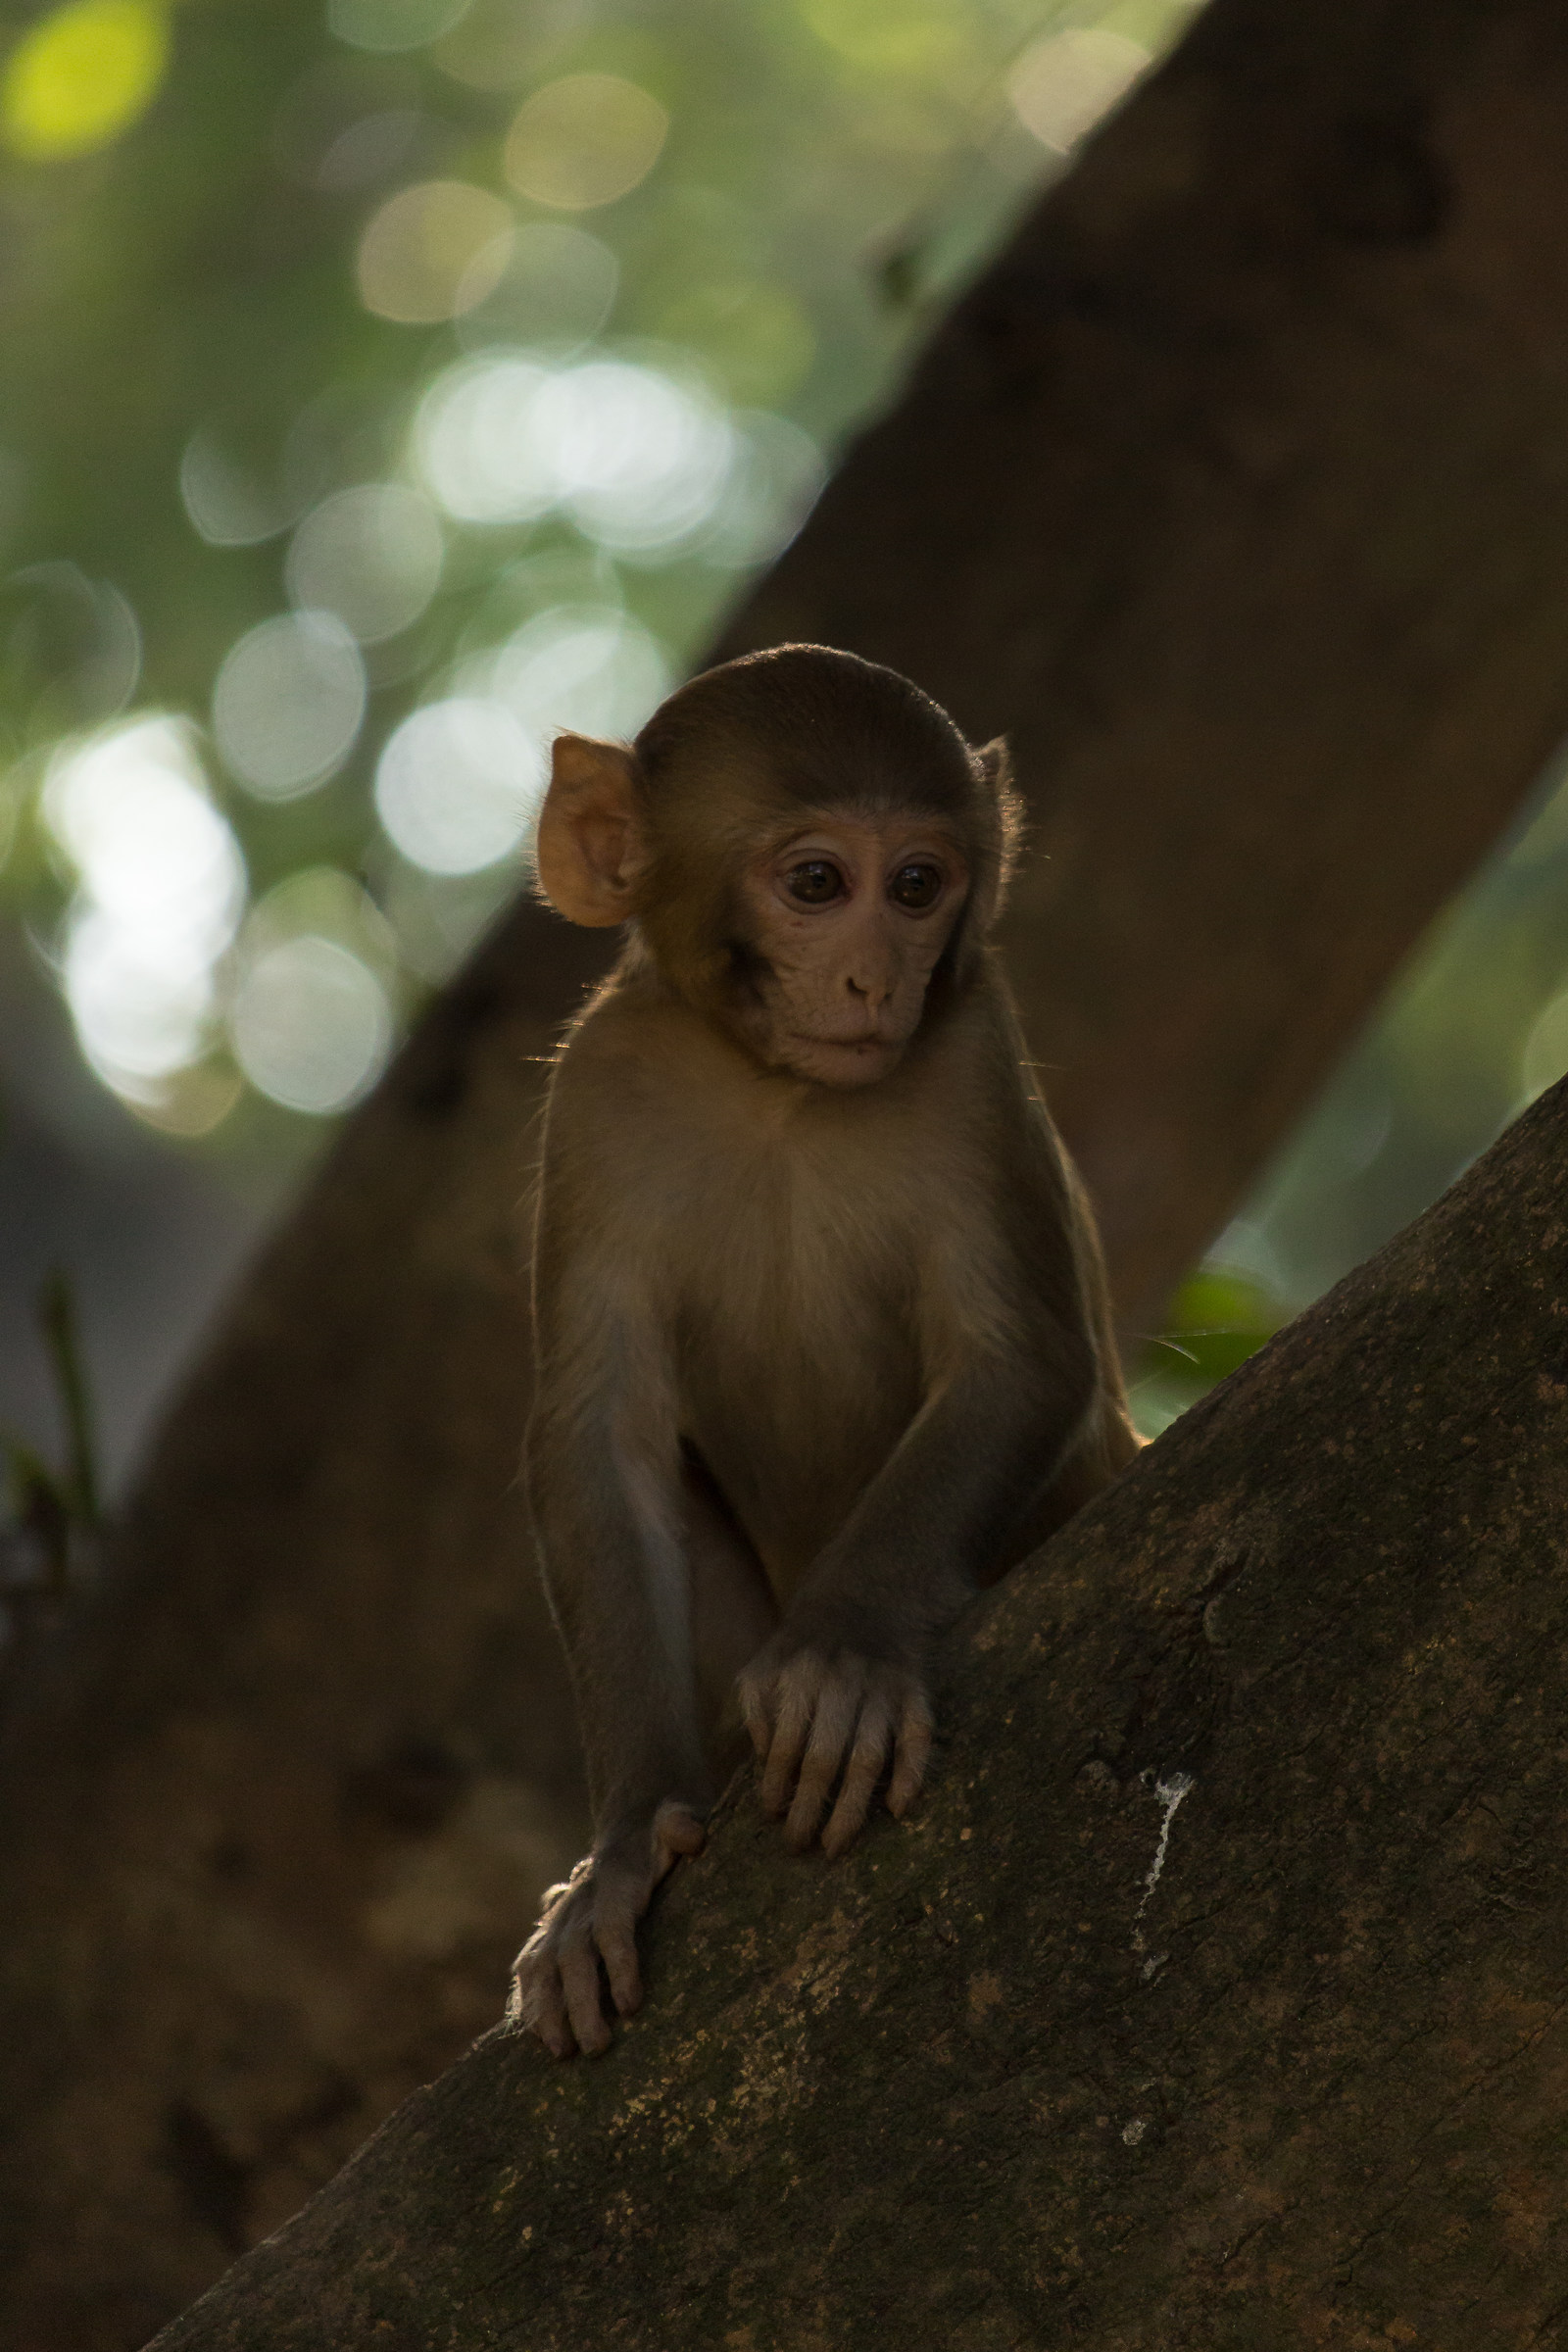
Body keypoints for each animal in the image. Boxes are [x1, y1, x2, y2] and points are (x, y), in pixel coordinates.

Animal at [510, 644, 1140, 2059]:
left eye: (915, 886)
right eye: (815, 885)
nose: (872, 982)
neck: (776, 1092)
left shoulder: (968, 1051)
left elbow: (1020, 1358)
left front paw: (844, 1657)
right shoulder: (599, 1094)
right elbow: (602, 1446)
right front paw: (622, 1848)